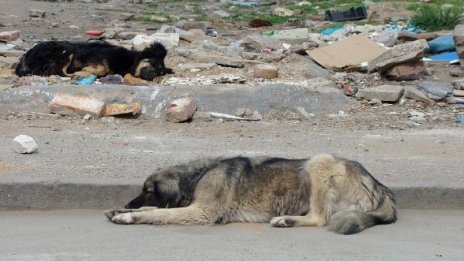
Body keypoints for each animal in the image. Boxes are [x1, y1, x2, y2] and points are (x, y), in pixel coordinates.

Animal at [15, 39, 174, 79]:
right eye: (153, 63)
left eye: (160, 72)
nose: (153, 76)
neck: (128, 62)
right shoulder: (92, 54)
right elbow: (103, 67)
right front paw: (86, 70)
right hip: (66, 49)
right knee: (62, 70)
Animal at [106, 152, 398, 234]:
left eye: (147, 190)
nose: (127, 203)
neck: (197, 176)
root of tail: (382, 189)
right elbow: (154, 210)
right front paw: (122, 210)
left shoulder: (200, 212)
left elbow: (157, 213)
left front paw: (128, 216)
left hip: (319, 161)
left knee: (319, 218)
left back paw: (286, 219)